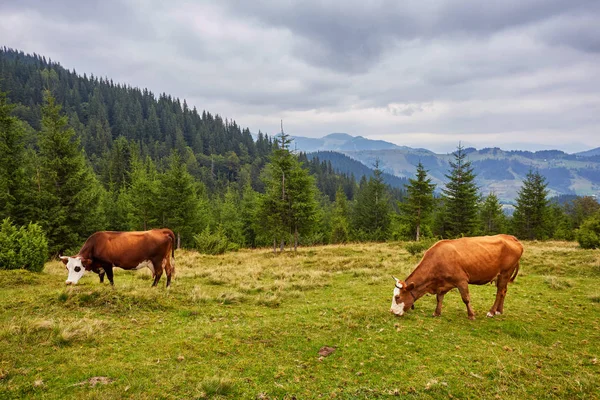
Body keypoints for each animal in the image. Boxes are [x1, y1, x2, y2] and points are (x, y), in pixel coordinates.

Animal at [392, 234, 524, 318]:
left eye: (397, 297)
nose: (392, 311)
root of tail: (511, 237)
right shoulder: (442, 284)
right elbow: (439, 298)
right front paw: (436, 313)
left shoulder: (461, 280)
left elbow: (465, 298)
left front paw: (471, 315)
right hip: (503, 275)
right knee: (504, 291)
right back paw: (499, 311)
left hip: (505, 273)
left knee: (499, 292)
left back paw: (491, 312)